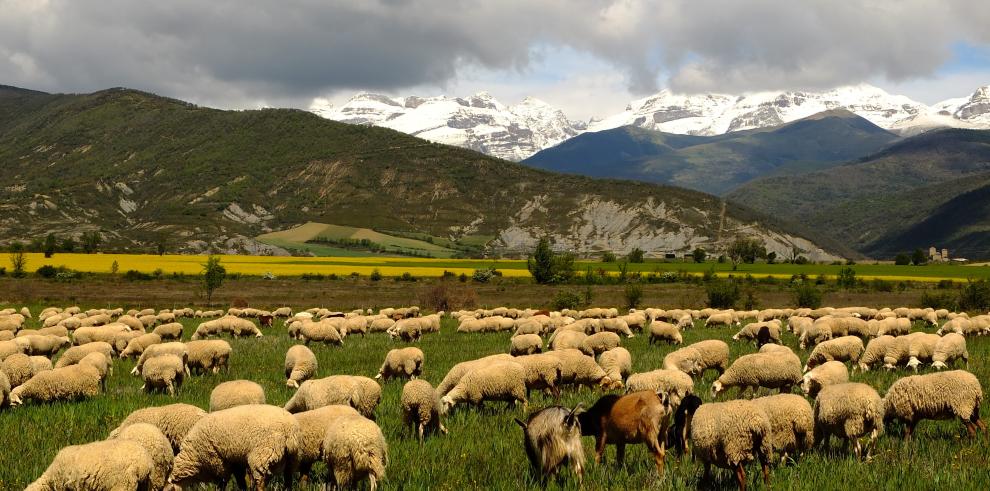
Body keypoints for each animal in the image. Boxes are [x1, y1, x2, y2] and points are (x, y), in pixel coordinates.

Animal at [169, 406, 300, 490]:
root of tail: (289, 430)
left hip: (262, 456)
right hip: (291, 459)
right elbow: (240, 481)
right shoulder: (235, 460)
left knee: (261, 483)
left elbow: (221, 483)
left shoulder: (218, 462)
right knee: (288, 480)